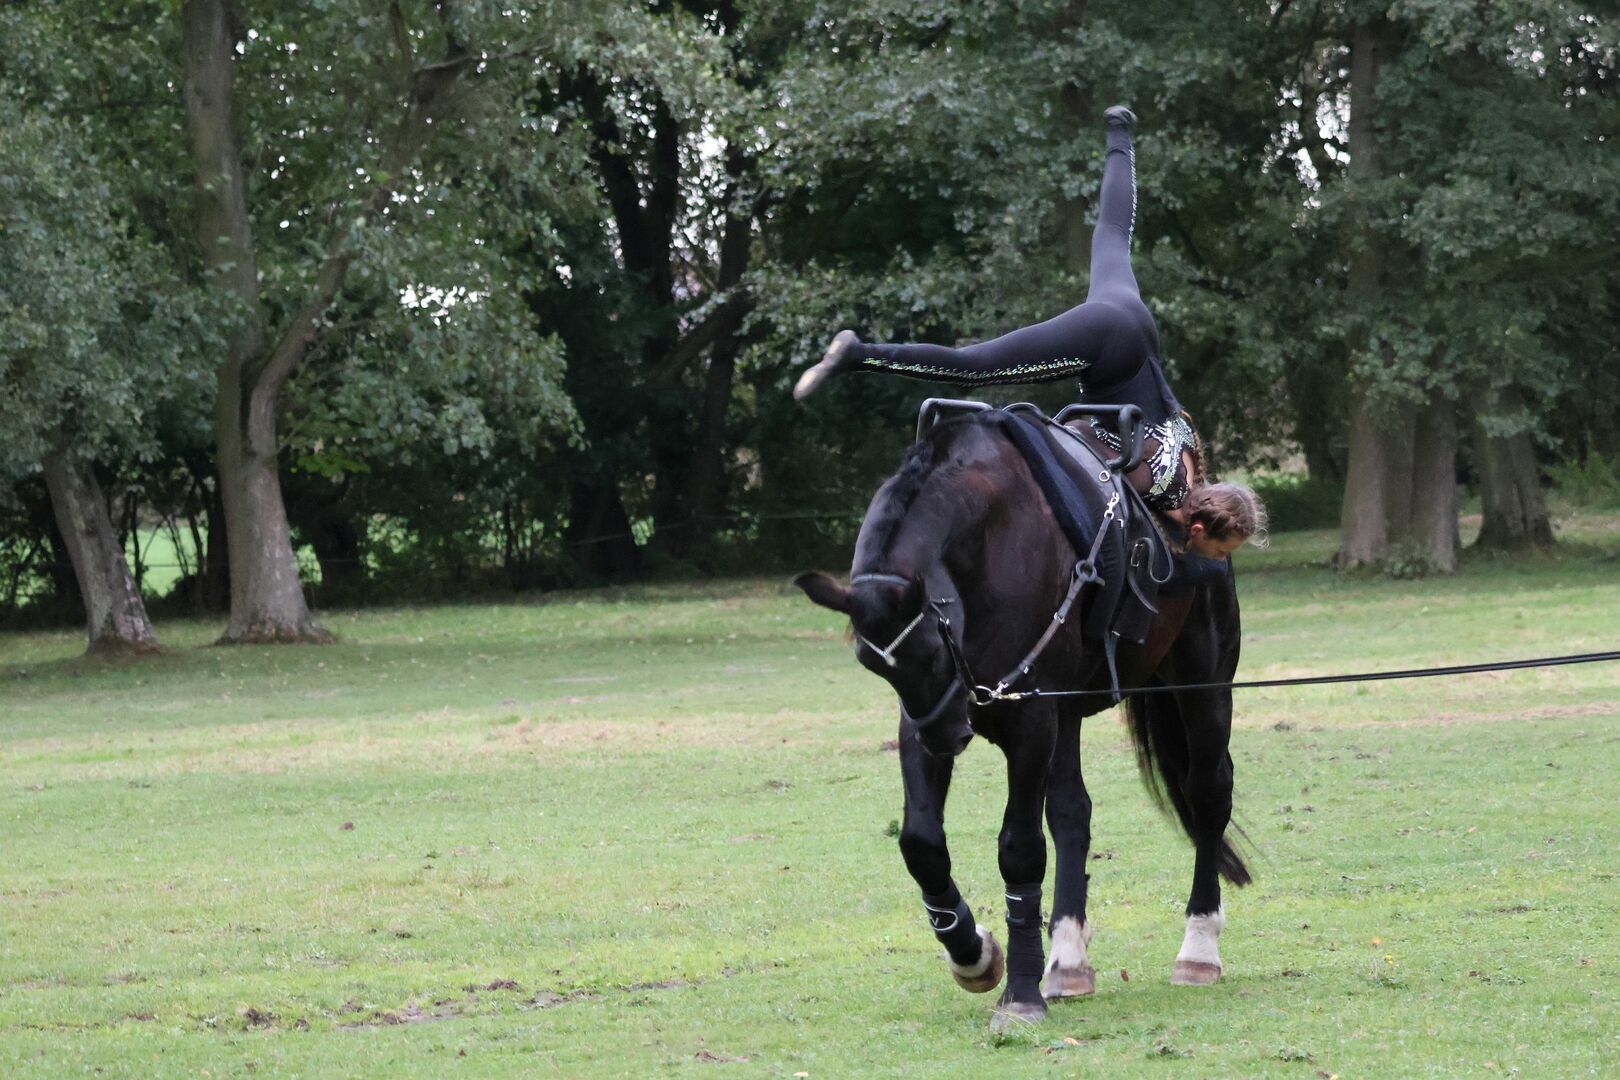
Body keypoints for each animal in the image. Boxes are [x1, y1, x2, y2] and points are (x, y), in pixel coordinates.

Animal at [794, 406, 1251, 1032]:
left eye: (933, 648)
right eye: (870, 662)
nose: (951, 737)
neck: (990, 542)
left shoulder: (1030, 719)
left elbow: (1020, 848)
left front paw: (1020, 993)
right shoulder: (925, 718)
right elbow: (922, 843)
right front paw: (972, 952)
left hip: (1201, 683)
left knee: (1208, 793)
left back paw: (1199, 947)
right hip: (1068, 712)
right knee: (1073, 813)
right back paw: (1068, 959)